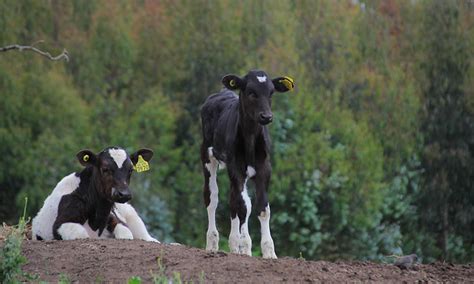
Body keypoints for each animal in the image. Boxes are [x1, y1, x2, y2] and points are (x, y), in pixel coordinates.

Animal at [199, 70, 292, 258]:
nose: (266, 116)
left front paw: (268, 251)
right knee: (212, 197)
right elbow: (245, 206)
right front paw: (246, 246)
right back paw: (212, 243)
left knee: (232, 199)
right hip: (207, 155)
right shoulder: (236, 168)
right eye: (251, 92)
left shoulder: (264, 168)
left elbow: (263, 207)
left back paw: (234, 244)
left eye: (271, 92)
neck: (250, 139)